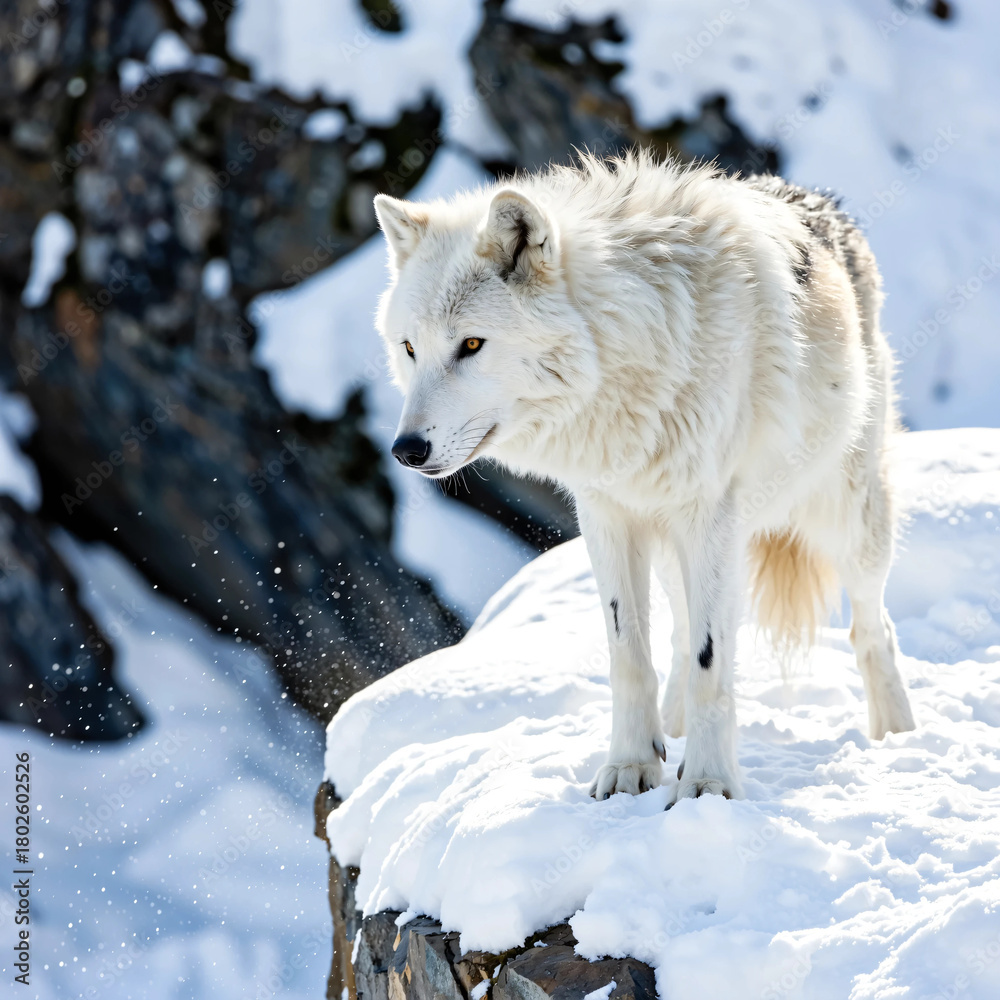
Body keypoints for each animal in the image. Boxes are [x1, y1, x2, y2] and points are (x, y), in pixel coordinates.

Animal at [373, 150, 915, 803]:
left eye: (472, 344)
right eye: (409, 349)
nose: (405, 449)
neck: (625, 352)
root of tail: (825, 204)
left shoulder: (708, 516)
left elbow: (712, 660)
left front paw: (707, 782)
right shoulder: (608, 515)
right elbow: (629, 654)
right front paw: (631, 768)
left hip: (846, 522)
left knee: (873, 629)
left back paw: (897, 736)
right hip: (673, 545)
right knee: (680, 635)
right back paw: (674, 730)